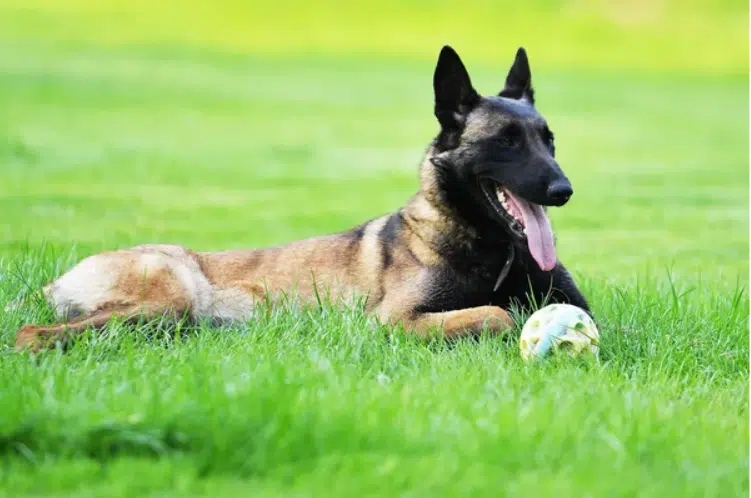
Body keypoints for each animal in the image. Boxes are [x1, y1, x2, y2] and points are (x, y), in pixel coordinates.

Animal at [11, 44, 592, 352]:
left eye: (549, 140)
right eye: (506, 142)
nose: (563, 191)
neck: (493, 251)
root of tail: (59, 279)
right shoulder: (394, 321)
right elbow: (498, 315)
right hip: (169, 298)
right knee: (29, 333)